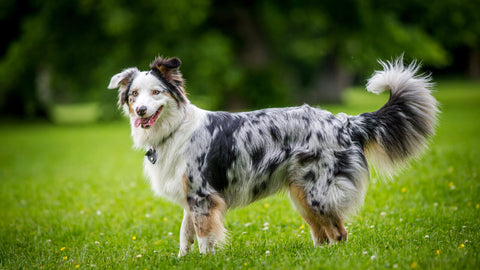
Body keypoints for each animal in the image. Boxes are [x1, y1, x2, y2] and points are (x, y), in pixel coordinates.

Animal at [108, 56, 438, 255]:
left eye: (157, 92)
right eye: (134, 95)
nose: (141, 111)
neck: (173, 130)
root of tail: (344, 121)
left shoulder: (202, 196)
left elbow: (203, 236)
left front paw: (205, 258)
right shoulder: (189, 196)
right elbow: (185, 235)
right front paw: (183, 260)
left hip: (318, 193)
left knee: (339, 232)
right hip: (301, 194)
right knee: (323, 233)